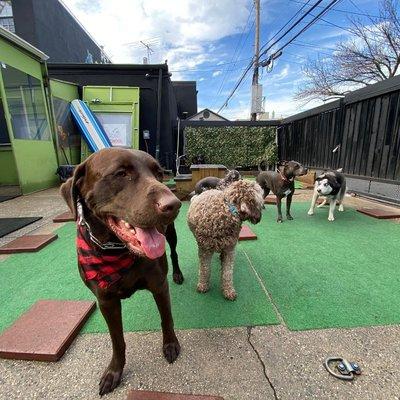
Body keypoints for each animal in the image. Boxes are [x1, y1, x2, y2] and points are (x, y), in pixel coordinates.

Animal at [60, 148, 182, 396]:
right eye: (121, 173)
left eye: (158, 173)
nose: (173, 205)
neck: (116, 250)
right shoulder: (106, 301)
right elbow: (117, 340)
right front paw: (114, 371)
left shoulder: (159, 286)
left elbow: (167, 319)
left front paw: (170, 344)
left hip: (171, 235)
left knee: (174, 253)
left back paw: (177, 273)